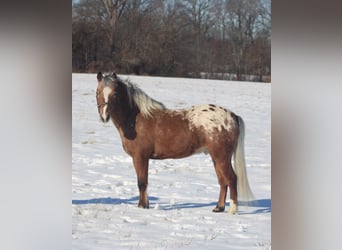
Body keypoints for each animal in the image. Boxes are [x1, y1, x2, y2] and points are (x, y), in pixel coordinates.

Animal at [95, 71, 252, 214]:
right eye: (98, 92)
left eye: (115, 94)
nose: (104, 116)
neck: (136, 119)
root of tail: (232, 116)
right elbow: (143, 182)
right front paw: (145, 204)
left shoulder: (140, 157)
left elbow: (142, 182)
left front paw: (142, 206)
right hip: (216, 157)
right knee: (222, 181)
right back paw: (218, 208)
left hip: (222, 157)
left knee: (231, 179)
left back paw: (232, 210)